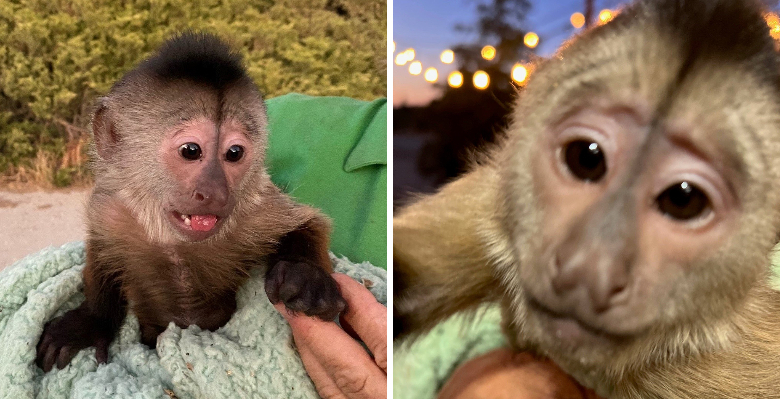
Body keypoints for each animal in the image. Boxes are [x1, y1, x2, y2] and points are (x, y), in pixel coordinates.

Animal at [33, 32, 344, 374]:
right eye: (191, 150)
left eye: (234, 153)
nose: (216, 192)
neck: (176, 242)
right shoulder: (112, 209)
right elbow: (102, 250)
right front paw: (90, 321)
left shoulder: (255, 208)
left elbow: (306, 222)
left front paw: (305, 274)